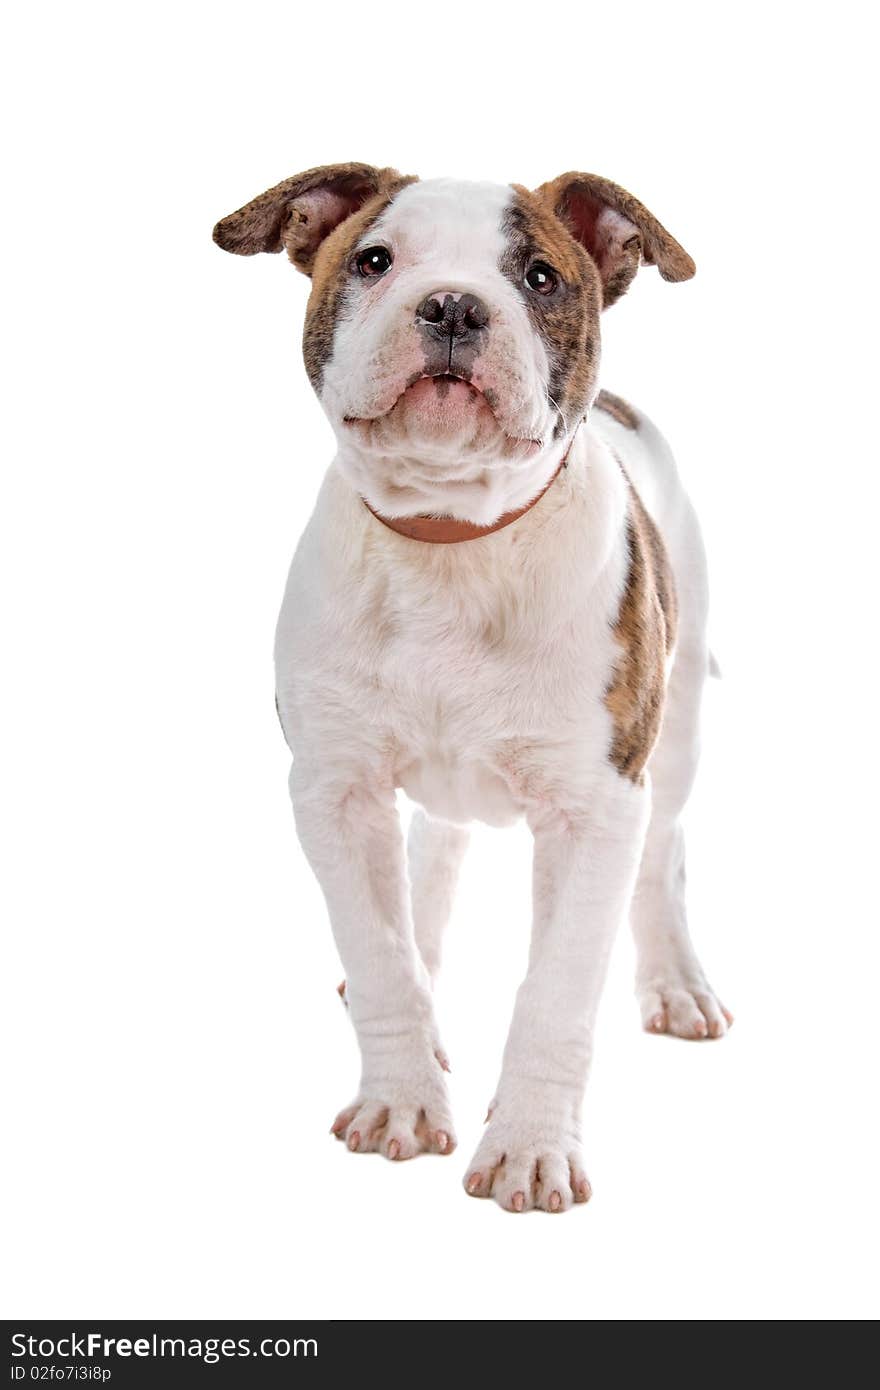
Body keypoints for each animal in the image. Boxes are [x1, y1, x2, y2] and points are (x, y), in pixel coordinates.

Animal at [211, 162, 728, 1212]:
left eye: (538, 276)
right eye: (375, 260)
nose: (452, 305)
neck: (452, 537)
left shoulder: (596, 807)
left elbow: (558, 990)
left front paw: (529, 1147)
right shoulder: (333, 789)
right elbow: (379, 956)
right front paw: (401, 1103)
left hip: (680, 731)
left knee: (665, 856)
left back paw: (676, 983)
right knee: (432, 853)